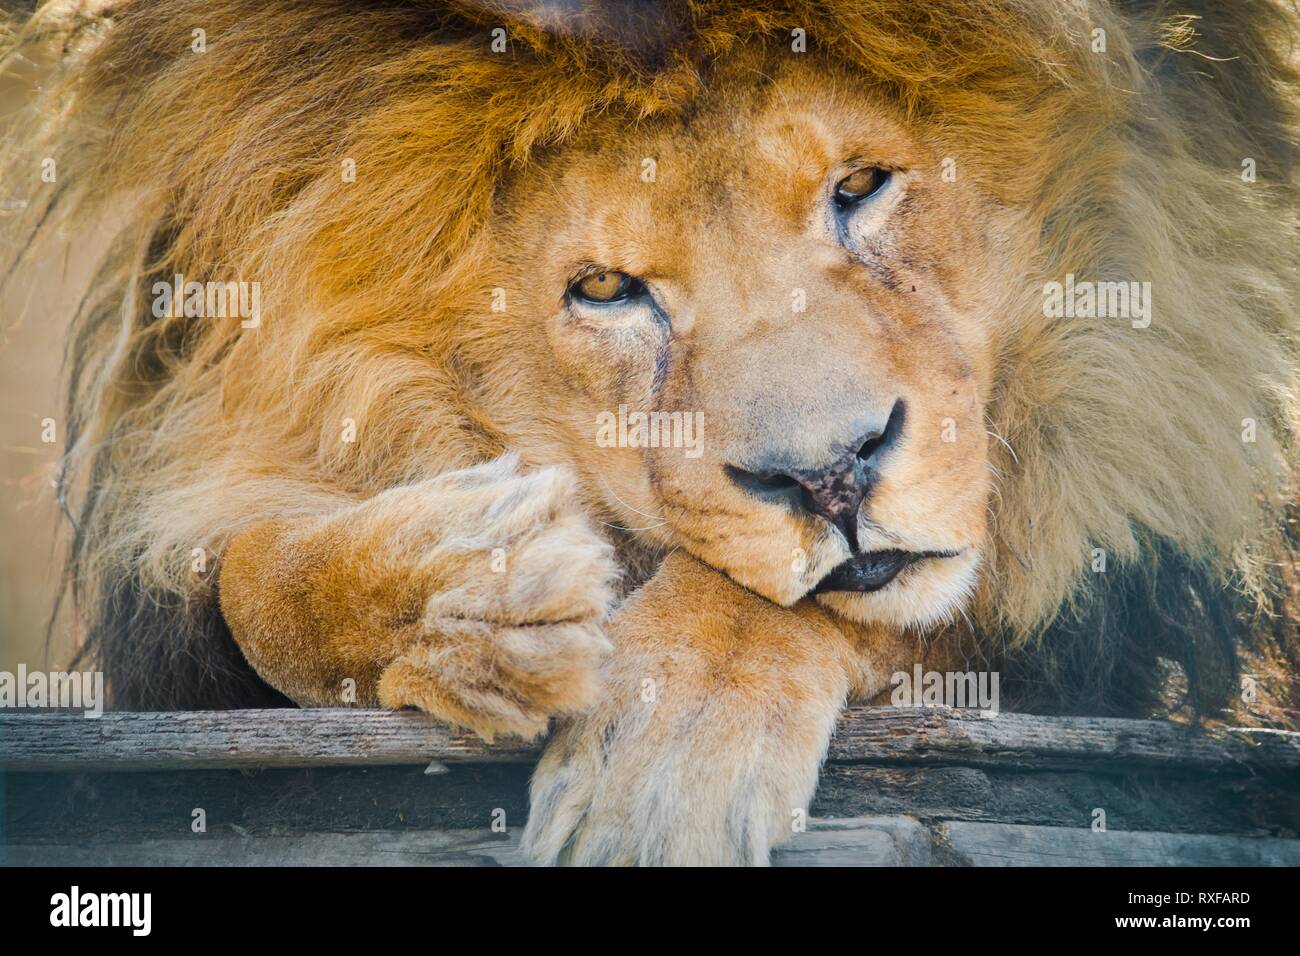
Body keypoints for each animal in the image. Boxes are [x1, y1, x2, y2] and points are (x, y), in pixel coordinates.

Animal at [2, 0, 1296, 865]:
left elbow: (799, 603)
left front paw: (659, 754)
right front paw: (472, 590)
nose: (831, 476)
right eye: (606, 288)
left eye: (861, 187)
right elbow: (254, 576)